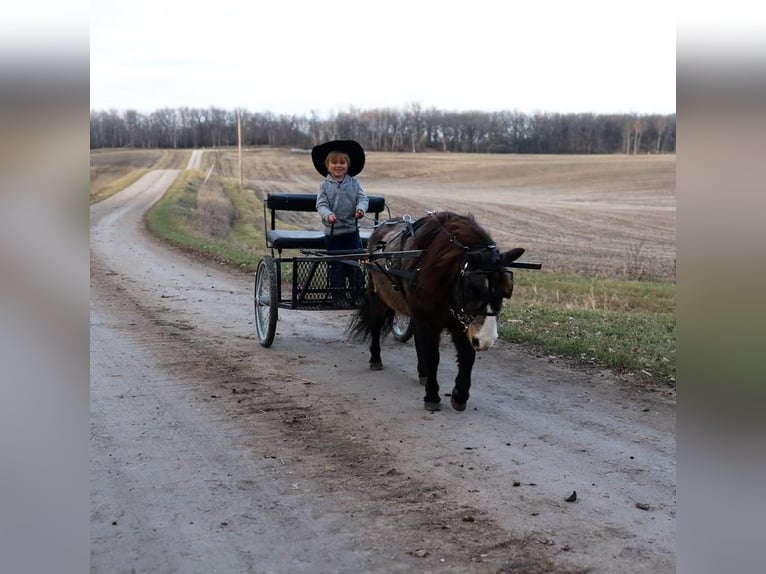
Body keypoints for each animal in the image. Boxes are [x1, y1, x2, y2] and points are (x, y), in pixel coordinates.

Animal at [350, 213, 524, 414]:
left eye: (505, 291)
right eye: (472, 288)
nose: (486, 339)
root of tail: (381, 227)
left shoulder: (460, 322)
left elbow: (467, 357)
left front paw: (459, 395)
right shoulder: (430, 320)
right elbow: (433, 357)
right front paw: (432, 396)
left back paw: (423, 372)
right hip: (379, 297)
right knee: (376, 326)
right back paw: (376, 359)